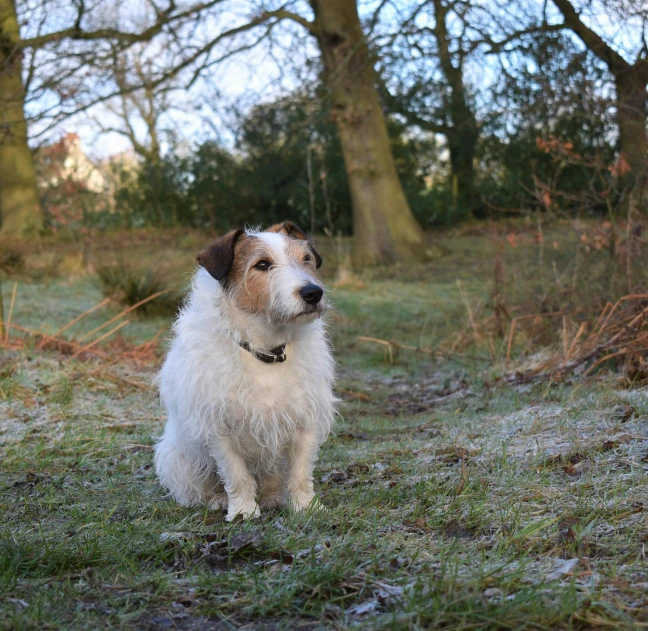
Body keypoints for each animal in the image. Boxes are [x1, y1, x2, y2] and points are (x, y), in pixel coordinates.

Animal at [154, 223, 336, 524]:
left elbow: (301, 473)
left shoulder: (305, 421)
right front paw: (243, 510)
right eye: (262, 264)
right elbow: (236, 475)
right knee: (202, 488)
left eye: (306, 259)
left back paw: (273, 499)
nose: (313, 293)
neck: (265, 351)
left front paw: (305, 507)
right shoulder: (220, 430)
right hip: (179, 457)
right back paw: (217, 501)